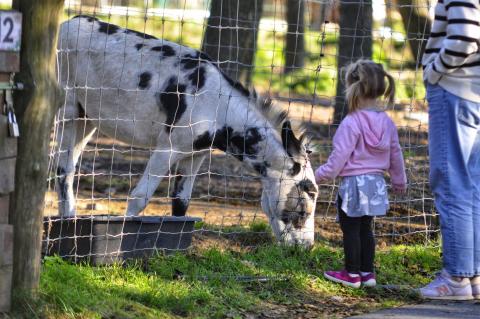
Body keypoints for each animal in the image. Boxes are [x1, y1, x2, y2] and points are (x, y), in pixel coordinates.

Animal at [55, 15, 318, 248]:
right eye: (308, 197)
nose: (307, 247)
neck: (218, 108)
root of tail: (69, 23)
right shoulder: (166, 150)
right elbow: (139, 197)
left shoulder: (195, 155)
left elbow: (181, 203)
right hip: (68, 111)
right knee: (62, 168)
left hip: (87, 119)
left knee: (68, 168)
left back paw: (68, 222)